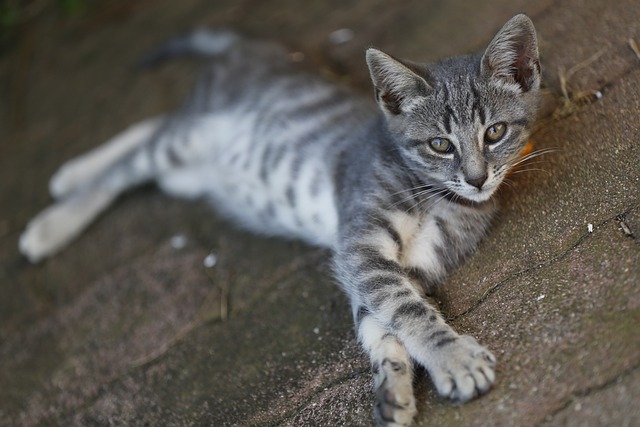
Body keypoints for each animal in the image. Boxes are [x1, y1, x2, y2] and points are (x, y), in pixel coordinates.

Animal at [18, 14, 540, 427]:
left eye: (495, 132)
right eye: (439, 145)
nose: (476, 178)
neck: (436, 196)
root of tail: (251, 47)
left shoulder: (396, 267)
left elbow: (382, 323)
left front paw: (392, 388)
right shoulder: (361, 247)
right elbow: (408, 311)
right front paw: (454, 359)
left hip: (189, 170)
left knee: (154, 127)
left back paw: (69, 175)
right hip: (189, 139)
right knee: (136, 157)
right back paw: (54, 218)